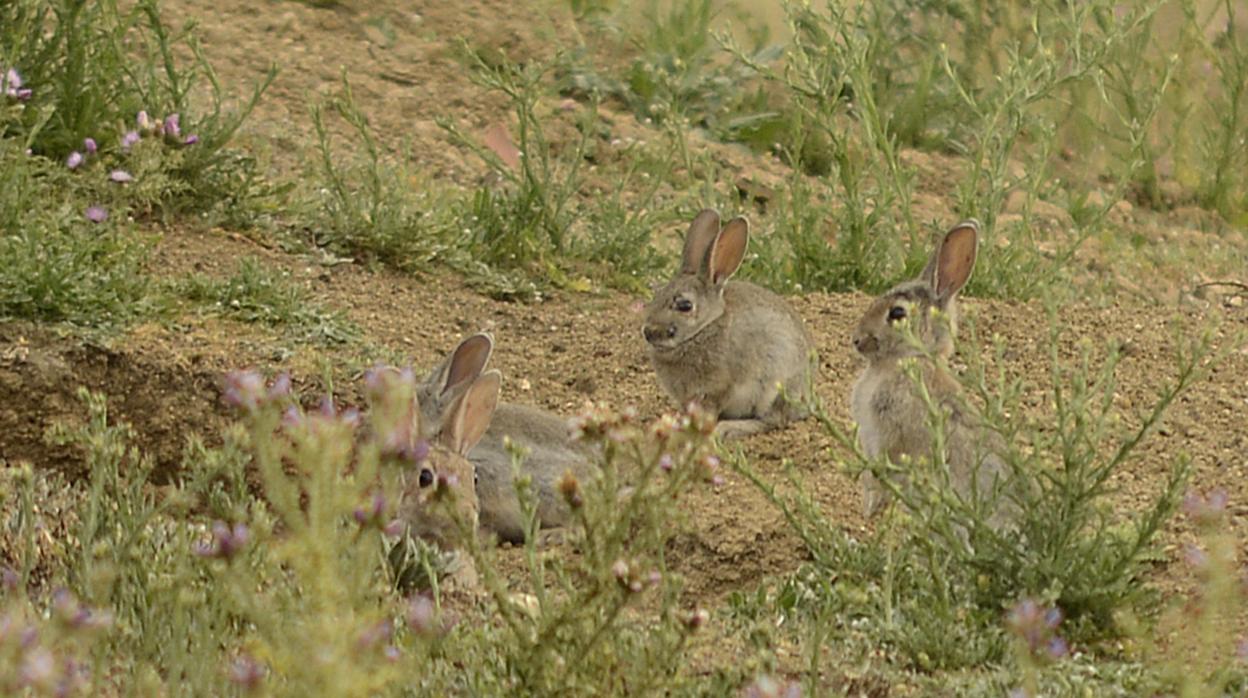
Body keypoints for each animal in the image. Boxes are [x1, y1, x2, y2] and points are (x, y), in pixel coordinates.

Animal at [643, 207, 818, 439]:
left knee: (773, 420)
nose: (649, 332)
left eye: (684, 305)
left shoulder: (716, 390)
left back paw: (728, 428)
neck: (703, 329)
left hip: (774, 388)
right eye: (656, 296)